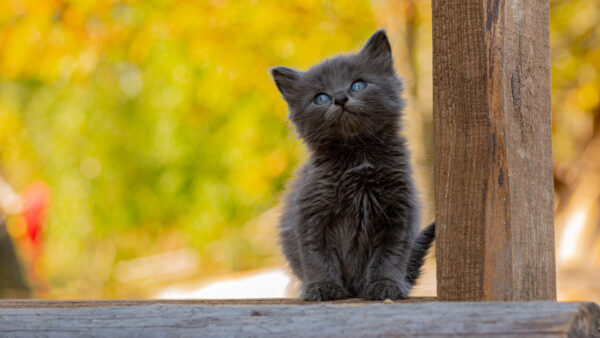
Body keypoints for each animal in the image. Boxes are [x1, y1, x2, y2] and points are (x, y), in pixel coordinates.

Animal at [270, 29, 434, 302]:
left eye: (358, 85)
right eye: (321, 98)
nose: (339, 98)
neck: (358, 158)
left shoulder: (400, 213)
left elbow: (389, 257)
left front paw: (384, 285)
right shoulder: (310, 214)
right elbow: (317, 257)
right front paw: (323, 287)